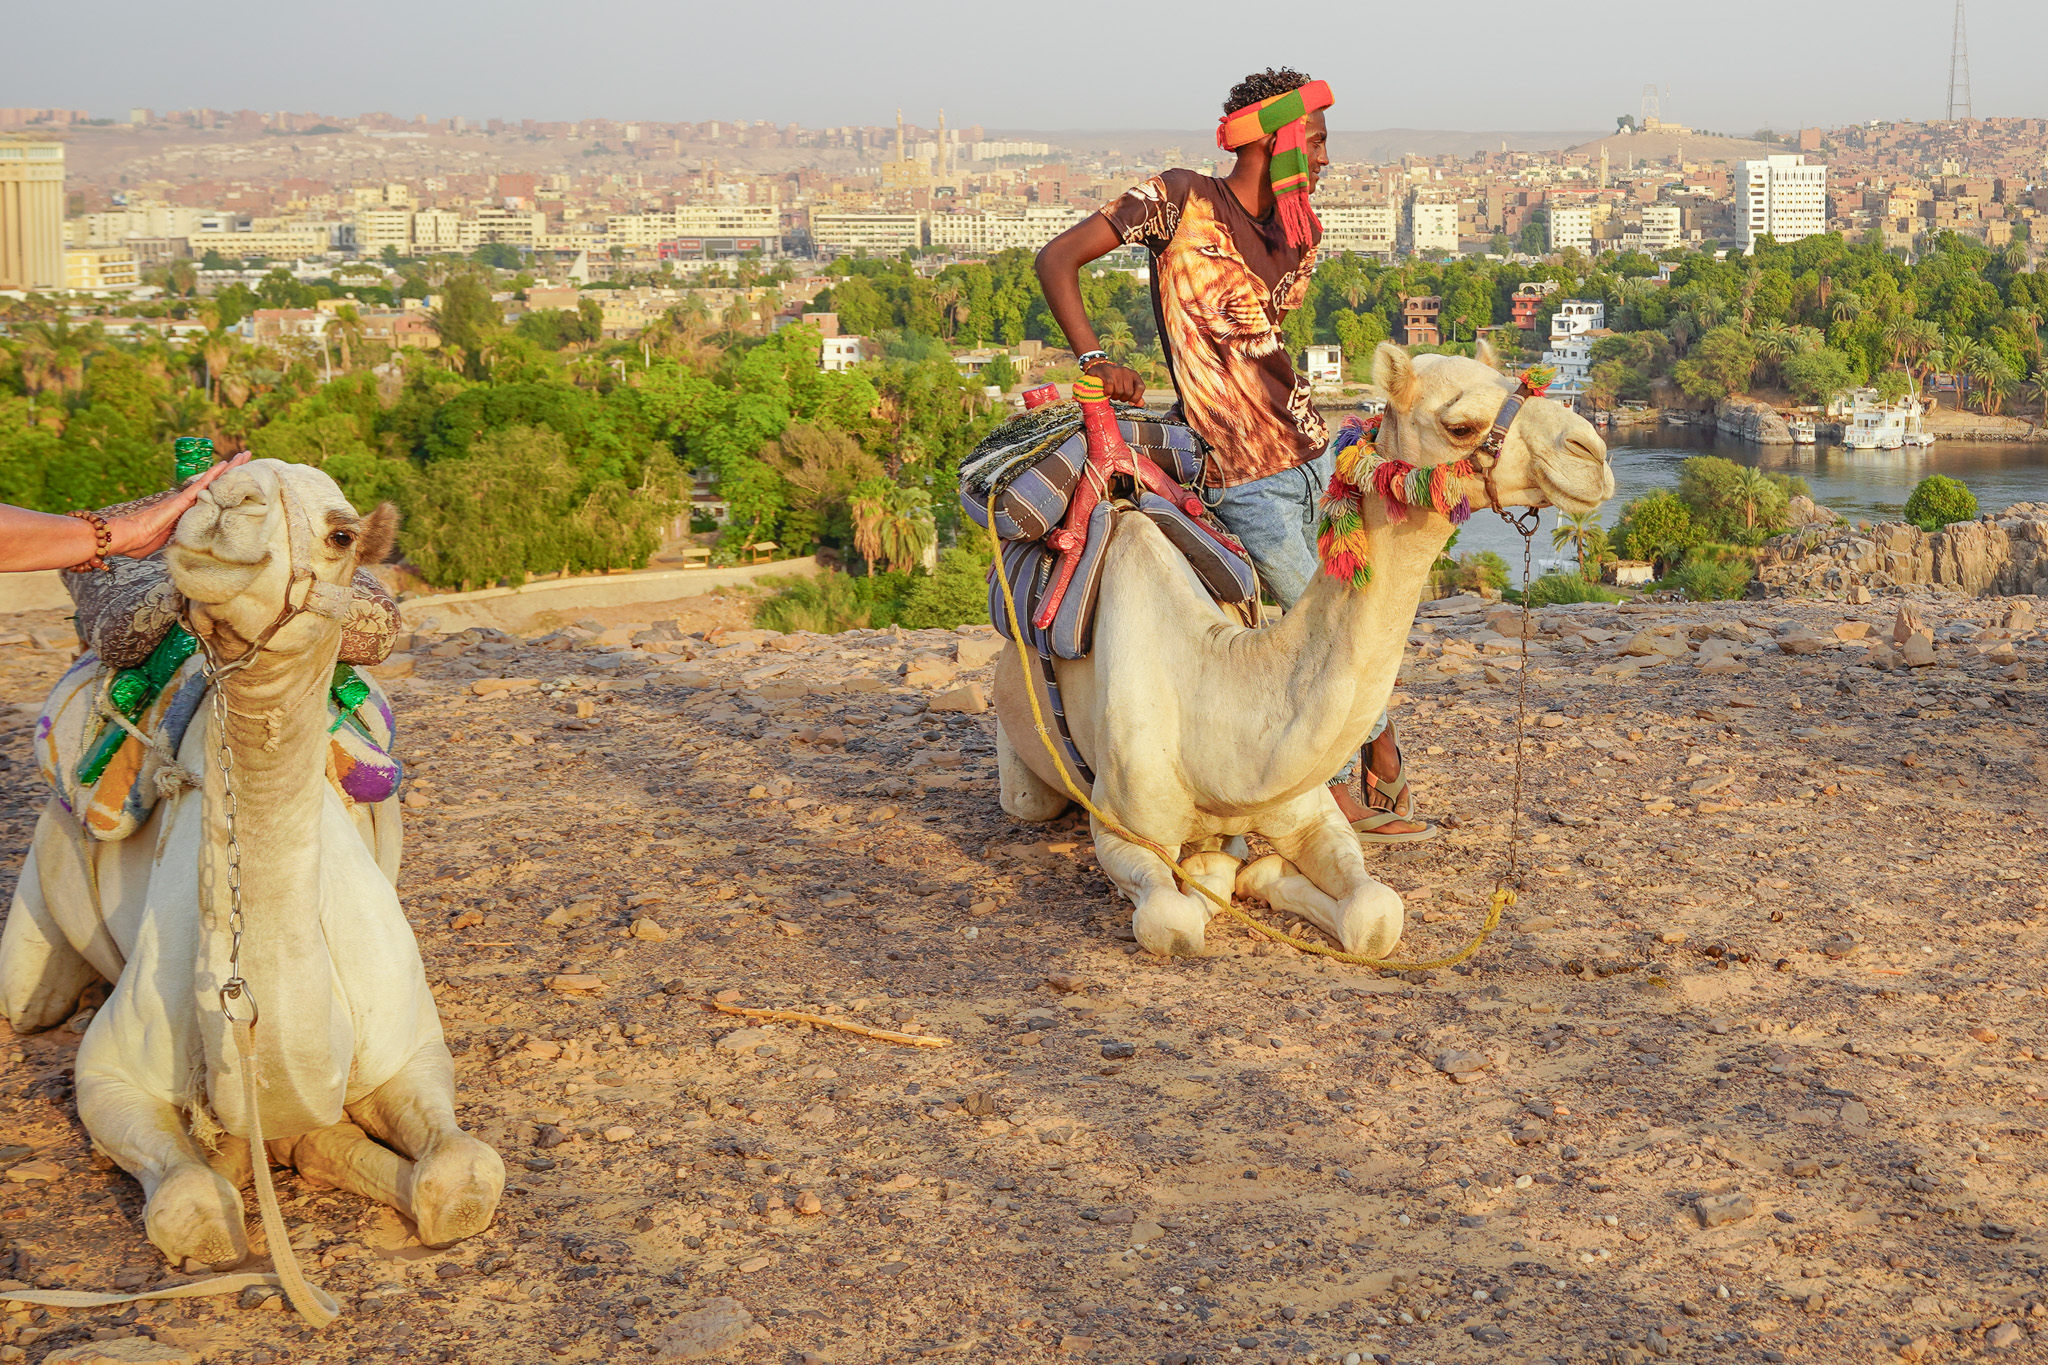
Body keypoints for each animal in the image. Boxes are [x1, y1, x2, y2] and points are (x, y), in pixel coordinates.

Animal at [0, 459, 504, 1268]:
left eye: (341, 533)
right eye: (202, 497)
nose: (226, 497)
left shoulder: (410, 1046)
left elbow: (459, 1177)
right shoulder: (107, 1074)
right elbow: (193, 1208)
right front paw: (235, 1166)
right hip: (32, 940)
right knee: (30, 999)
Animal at [992, 342, 1615, 958]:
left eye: (1519, 379)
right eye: (1460, 425)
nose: (1593, 452)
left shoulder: (1308, 815)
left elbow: (1375, 913)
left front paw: (1255, 873)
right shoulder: (1123, 831)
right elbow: (1173, 919)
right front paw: (1220, 869)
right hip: (1022, 765)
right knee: (1031, 804)